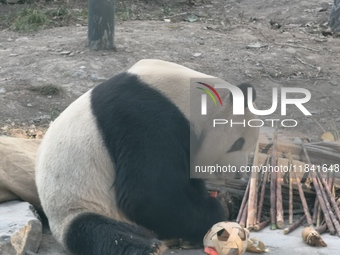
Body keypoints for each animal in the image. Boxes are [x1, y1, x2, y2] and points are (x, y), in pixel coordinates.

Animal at [35, 59, 258, 255]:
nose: (238, 173)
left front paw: (222, 200)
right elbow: (147, 195)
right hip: (79, 203)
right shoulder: (144, 119)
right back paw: (150, 247)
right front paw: (219, 209)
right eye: (238, 143)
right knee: (95, 231)